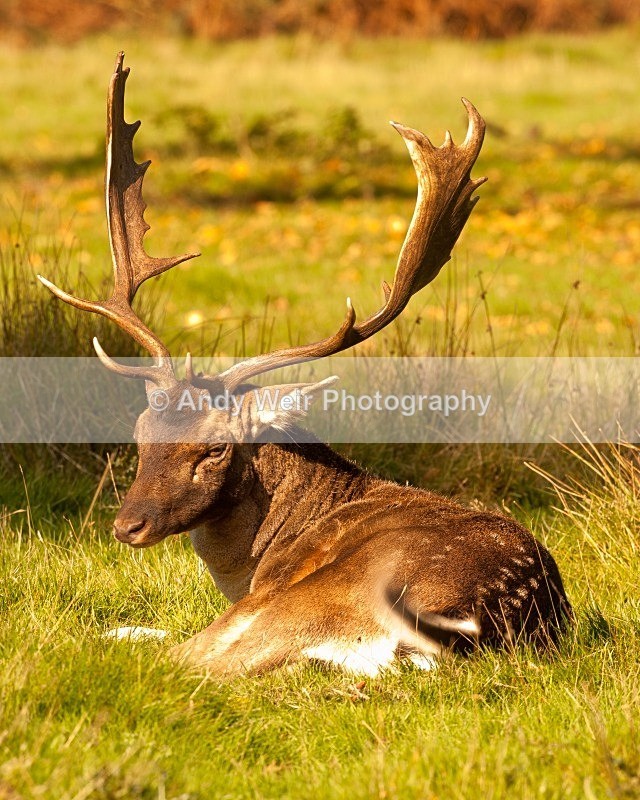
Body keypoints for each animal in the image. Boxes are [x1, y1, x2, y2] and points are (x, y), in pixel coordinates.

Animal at [39, 53, 572, 677]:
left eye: (214, 449)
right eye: (140, 433)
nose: (128, 526)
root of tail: (471, 630)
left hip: (313, 596)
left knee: (194, 660)